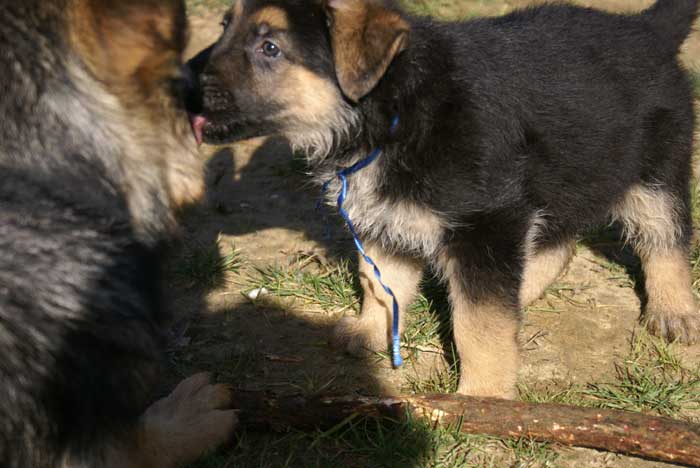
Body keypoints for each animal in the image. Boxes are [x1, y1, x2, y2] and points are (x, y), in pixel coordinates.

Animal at [189, 0, 696, 400]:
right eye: (224, 26)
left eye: (270, 48)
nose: (180, 83)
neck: (395, 110)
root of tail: (646, 29)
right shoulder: (385, 220)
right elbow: (381, 284)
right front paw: (370, 333)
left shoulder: (486, 220)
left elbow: (479, 325)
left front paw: (483, 397)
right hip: (565, 175)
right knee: (560, 242)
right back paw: (521, 292)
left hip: (653, 171)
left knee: (665, 239)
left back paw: (673, 312)